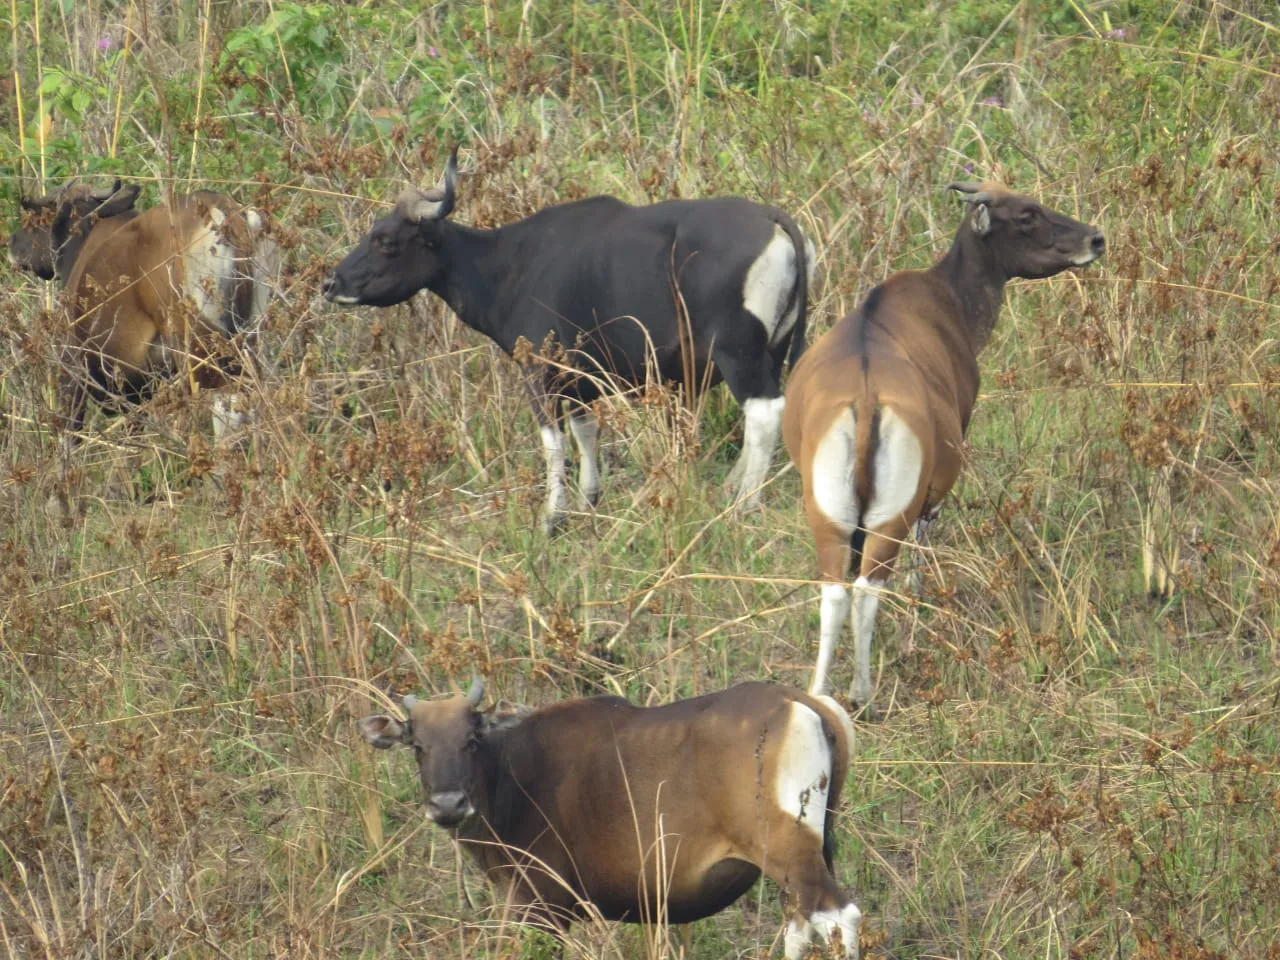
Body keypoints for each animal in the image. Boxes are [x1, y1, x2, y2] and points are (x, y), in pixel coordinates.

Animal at [323, 149, 816, 534]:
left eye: (386, 240)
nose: (331, 283)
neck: (511, 265)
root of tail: (773, 220)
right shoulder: (583, 381)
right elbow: (585, 431)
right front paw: (587, 501)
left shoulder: (540, 373)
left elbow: (552, 441)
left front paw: (551, 517)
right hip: (774, 353)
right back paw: (733, 488)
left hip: (739, 355)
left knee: (764, 413)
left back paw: (744, 504)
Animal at [358, 678, 862, 958]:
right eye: (418, 745)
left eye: (471, 739)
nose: (448, 805)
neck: (508, 776)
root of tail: (806, 704)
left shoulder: (539, 905)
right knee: (800, 926)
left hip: (791, 854)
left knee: (840, 916)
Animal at [783, 181, 1105, 711]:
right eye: (1027, 214)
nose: (1095, 238)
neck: (946, 298)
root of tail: (866, 398)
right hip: (889, 518)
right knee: (868, 588)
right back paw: (864, 693)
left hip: (825, 517)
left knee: (835, 592)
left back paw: (821, 691)